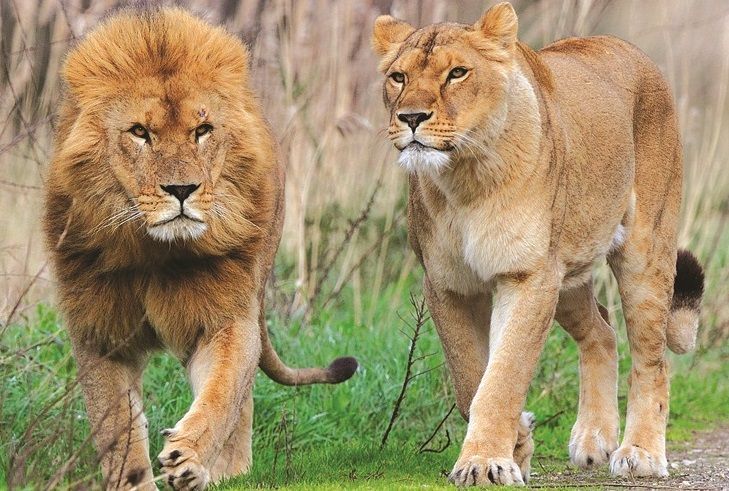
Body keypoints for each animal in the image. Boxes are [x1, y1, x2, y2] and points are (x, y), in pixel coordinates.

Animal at [43, 7, 357, 490]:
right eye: (140, 132)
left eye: (202, 130)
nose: (181, 189)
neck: (153, 254)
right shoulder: (100, 333)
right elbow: (118, 430)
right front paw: (134, 478)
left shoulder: (226, 317)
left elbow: (221, 396)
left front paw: (188, 457)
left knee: (242, 403)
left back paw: (227, 473)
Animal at [373, 2, 704, 486]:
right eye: (398, 77)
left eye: (457, 73)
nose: (410, 118)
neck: (465, 177)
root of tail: (626, 46)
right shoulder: (448, 284)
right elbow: (471, 378)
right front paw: (517, 443)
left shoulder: (528, 275)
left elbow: (503, 375)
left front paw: (484, 462)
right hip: (567, 273)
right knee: (602, 332)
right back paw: (593, 441)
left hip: (643, 254)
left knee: (652, 359)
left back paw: (639, 453)